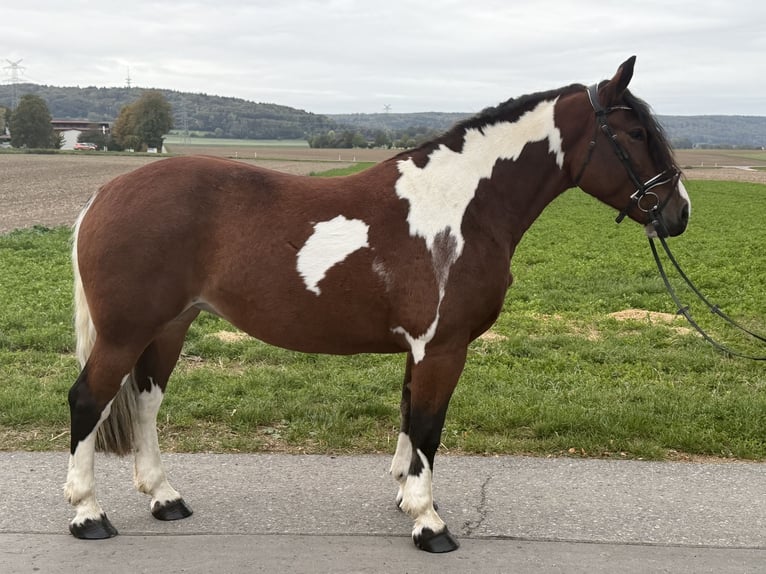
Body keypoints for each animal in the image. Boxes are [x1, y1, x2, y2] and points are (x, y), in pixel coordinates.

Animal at [65, 57, 690, 553]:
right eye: (636, 133)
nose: (678, 213)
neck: (462, 206)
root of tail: (105, 194)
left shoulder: (421, 349)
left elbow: (410, 418)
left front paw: (407, 496)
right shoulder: (443, 348)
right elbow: (430, 426)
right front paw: (429, 523)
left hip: (169, 326)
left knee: (145, 403)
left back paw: (164, 498)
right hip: (125, 332)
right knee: (88, 399)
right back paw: (88, 514)